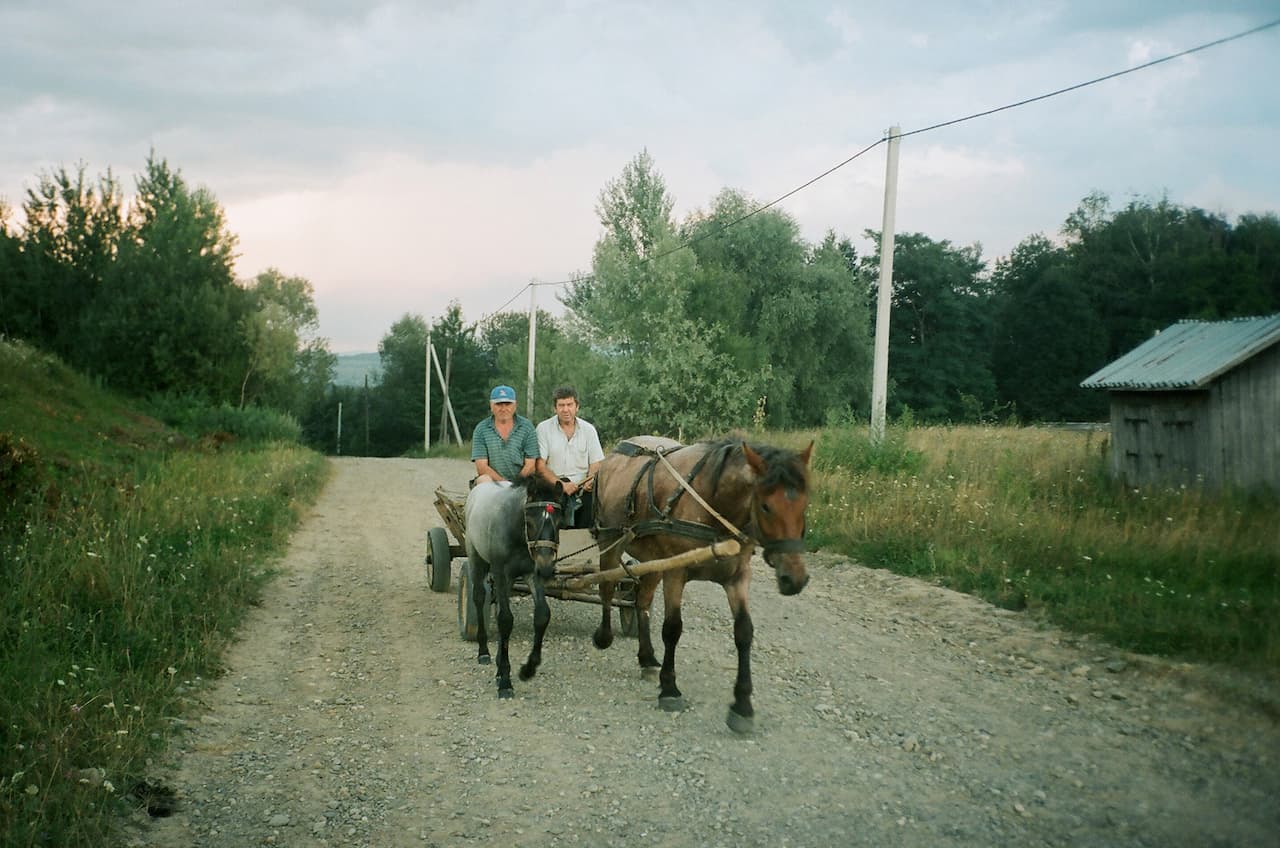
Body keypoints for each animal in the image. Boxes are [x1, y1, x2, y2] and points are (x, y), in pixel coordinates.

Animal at [460, 473, 560, 701]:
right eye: (530, 521)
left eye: (559, 522)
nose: (547, 568)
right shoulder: (500, 572)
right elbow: (505, 620)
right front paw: (505, 680)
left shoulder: (531, 572)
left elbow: (542, 614)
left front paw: (527, 669)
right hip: (476, 558)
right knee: (479, 597)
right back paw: (484, 652)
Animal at [586, 435, 808, 732]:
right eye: (766, 506)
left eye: (804, 505)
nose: (795, 579)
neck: (713, 505)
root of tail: (612, 457)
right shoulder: (675, 571)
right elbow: (672, 629)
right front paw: (669, 689)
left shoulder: (738, 576)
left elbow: (744, 632)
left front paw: (742, 705)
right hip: (610, 541)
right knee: (607, 588)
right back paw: (604, 636)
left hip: (654, 560)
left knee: (642, 601)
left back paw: (647, 657)